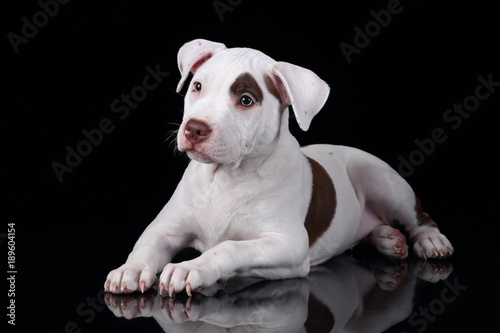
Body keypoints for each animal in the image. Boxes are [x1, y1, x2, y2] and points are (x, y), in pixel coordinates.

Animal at [104, 39, 454, 296]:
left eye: (246, 100)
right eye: (198, 86)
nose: (194, 128)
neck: (225, 177)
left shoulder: (287, 244)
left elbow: (230, 247)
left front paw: (193, 267)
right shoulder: (165, 228)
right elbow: (145, 245)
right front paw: (129, 270)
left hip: (381, 178)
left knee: (419, 216)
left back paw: (429, 241)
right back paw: (385, 238)